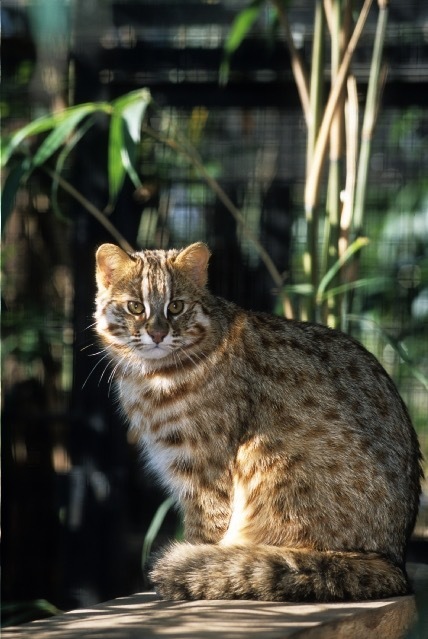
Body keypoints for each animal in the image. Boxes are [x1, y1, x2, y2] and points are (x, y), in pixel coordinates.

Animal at [93, 242, 422, 604]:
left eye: (176, 306)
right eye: (135, 307)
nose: (157, 333)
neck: (152, 376)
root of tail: (395, 564)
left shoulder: (206, 469)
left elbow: (205, 527)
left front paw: (195, 560)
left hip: (265, 454)